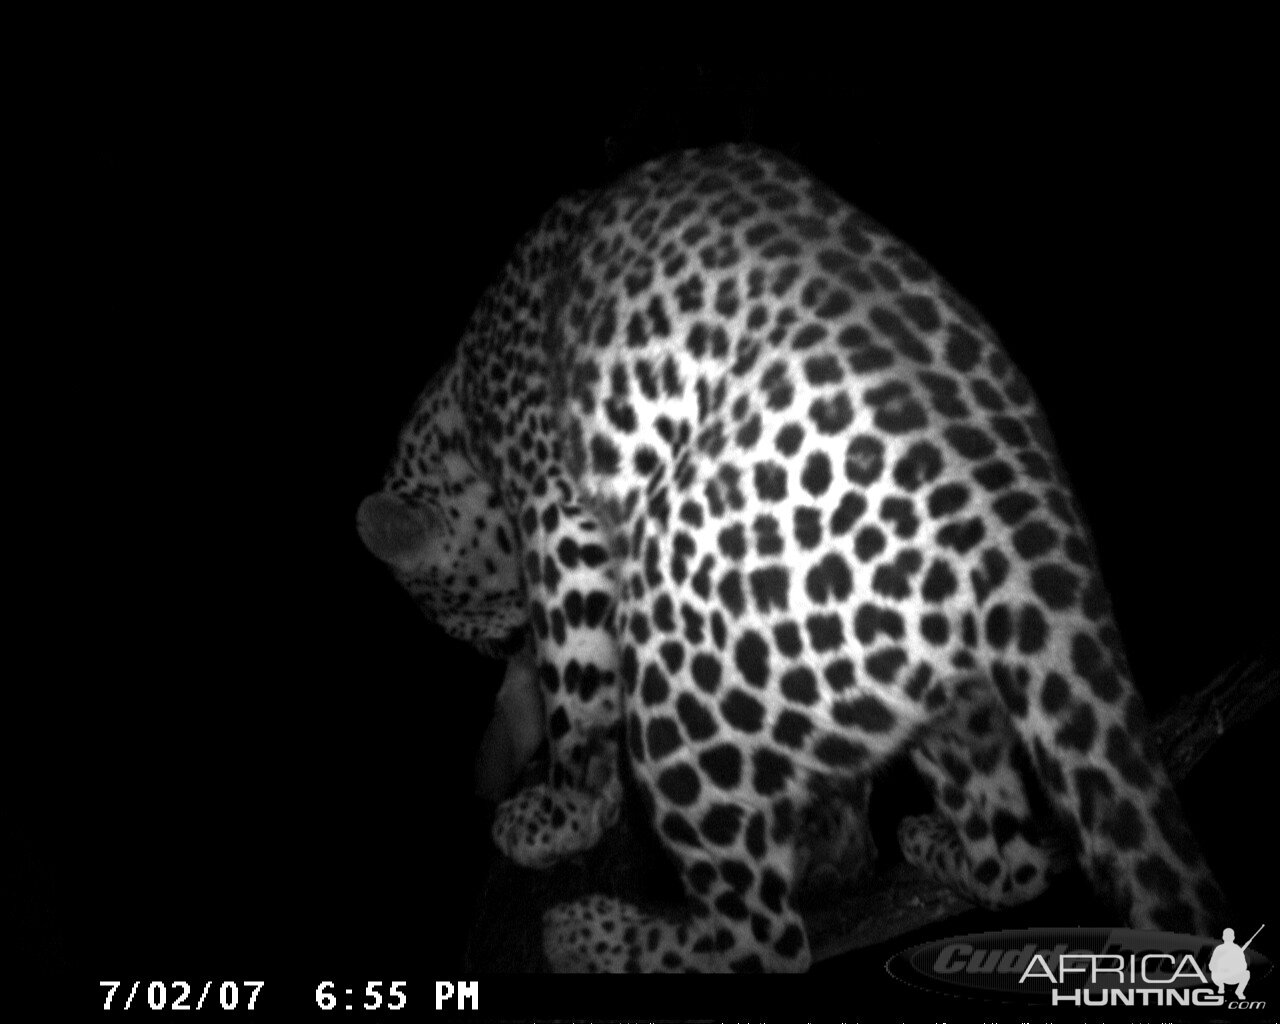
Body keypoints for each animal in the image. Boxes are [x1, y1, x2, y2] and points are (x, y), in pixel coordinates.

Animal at [355, 142, 1223, 967]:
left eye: (487, 631)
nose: (503, 653)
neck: (460, 398)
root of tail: (1031, 540)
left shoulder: (557, 509)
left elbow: (576, 692)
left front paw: (564, 813)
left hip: (685, 665)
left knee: (764, 939)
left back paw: (594, 936)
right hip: (948, 704)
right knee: (1010, 861)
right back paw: (930, 844)